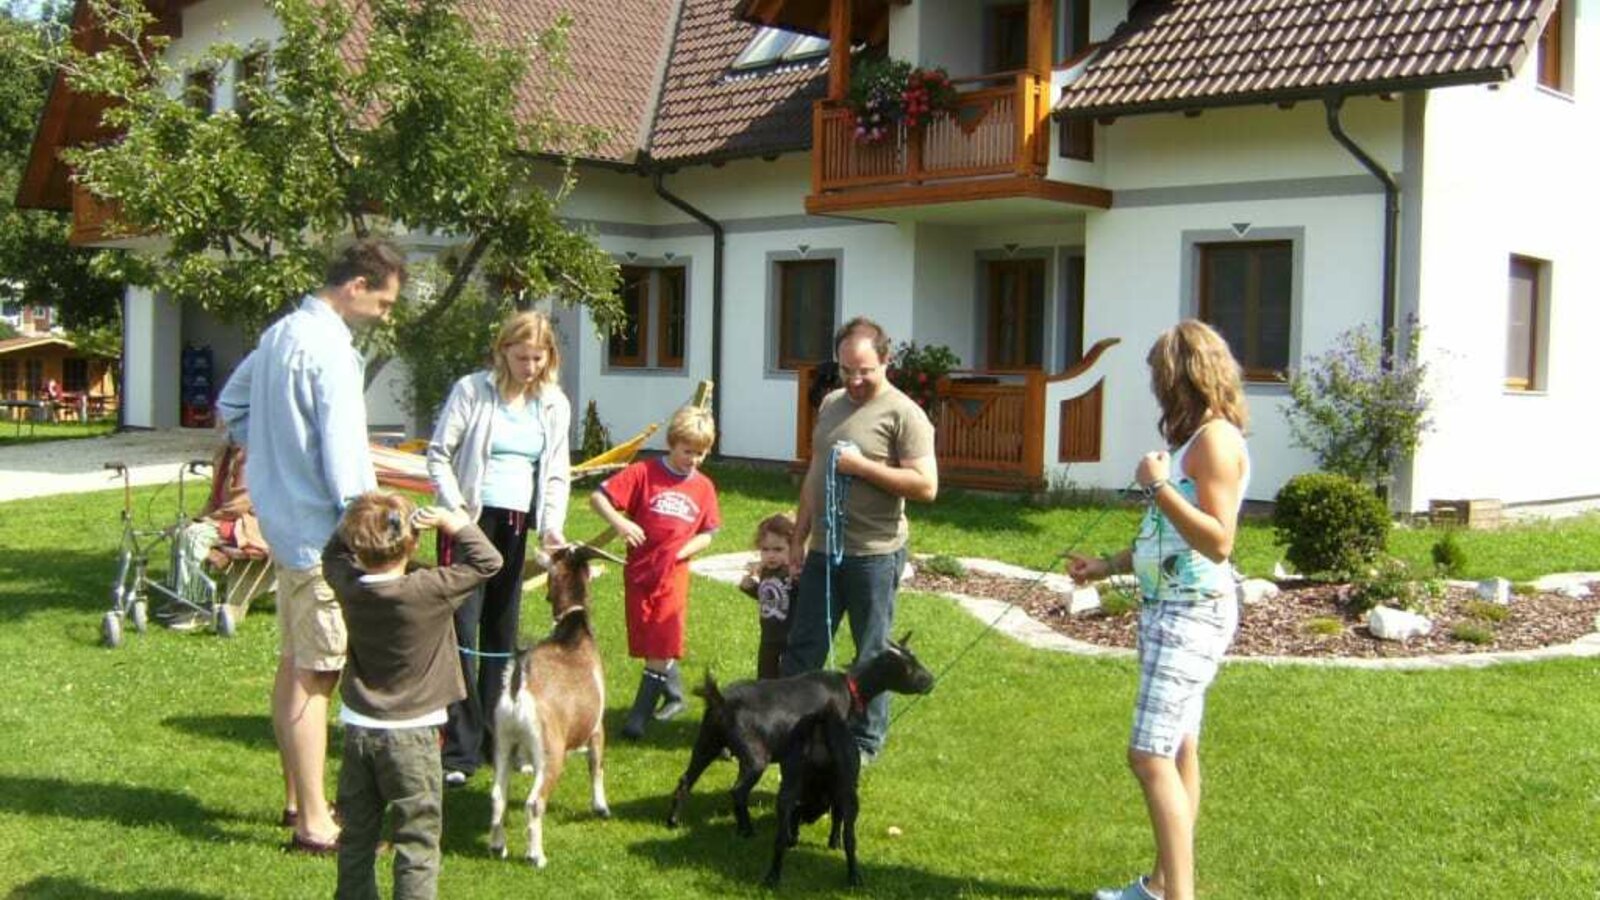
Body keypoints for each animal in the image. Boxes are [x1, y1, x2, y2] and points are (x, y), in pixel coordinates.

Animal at [486, 544, 617, 864]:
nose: (544, 547)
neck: (573, 632)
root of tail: (519, 686)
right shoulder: (597, 728)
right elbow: (596, 765)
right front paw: (601, 807)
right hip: (550, 754)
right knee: (534, 803)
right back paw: (536, 856)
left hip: (504, 743)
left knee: (497, 796)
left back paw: (498, 847)